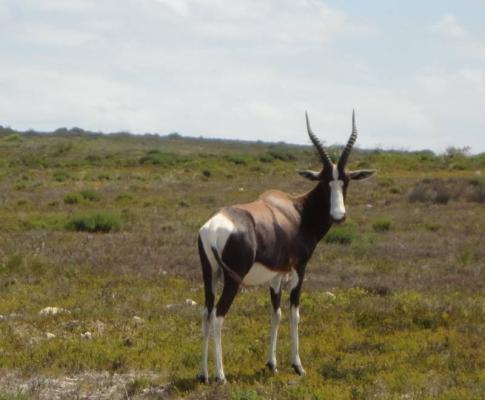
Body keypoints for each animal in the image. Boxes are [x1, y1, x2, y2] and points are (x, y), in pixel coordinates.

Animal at [196, 111, 374, 382]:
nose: (338, 216)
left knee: (206, 313)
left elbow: (276, 313)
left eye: (345, 180)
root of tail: (212, 228)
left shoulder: (277, 274)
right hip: (232, 280)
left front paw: (272, 363)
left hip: (210, 274)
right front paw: (297, 365)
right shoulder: (299, 268)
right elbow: (294, 313)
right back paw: (221, 376)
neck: (296, 211)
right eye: (324, 181)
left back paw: (203, 374)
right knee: (217, 316)